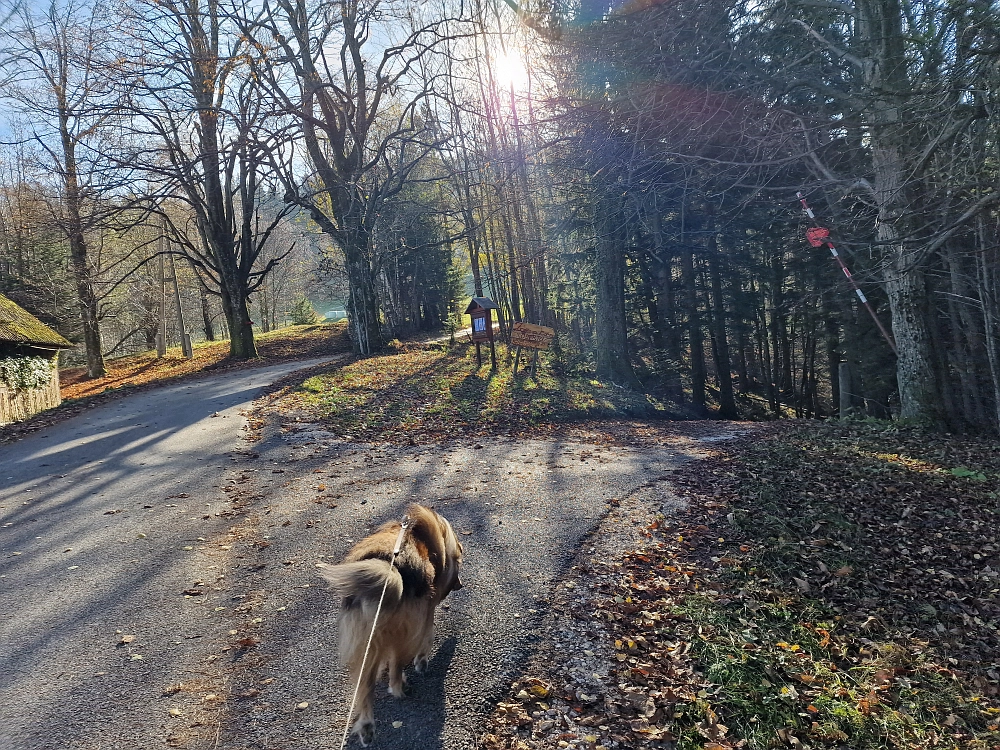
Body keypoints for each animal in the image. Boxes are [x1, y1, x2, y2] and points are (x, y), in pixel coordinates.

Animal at [316, 506, 464, 748]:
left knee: (365, 687)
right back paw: (400, 688)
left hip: (366, 641)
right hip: (403, 634)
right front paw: (421, 663)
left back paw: (367, 727)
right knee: (395, 671)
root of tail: (390, 574)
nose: (461, 584)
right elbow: (427, 639)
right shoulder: (426, 615)